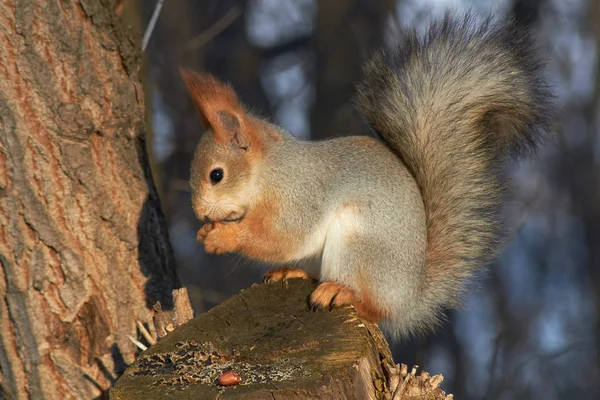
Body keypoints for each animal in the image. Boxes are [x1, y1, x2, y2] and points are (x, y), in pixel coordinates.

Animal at [179, 14, 552, 338]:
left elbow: (283, 236)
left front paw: (223, 237)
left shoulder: (299, 194)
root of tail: (410, 296)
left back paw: (341, 293)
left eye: (216, 175)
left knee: (374, 309)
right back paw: (293, 271)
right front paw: (207, 231)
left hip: (359, 243)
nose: (198, 212)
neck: (267, 172)